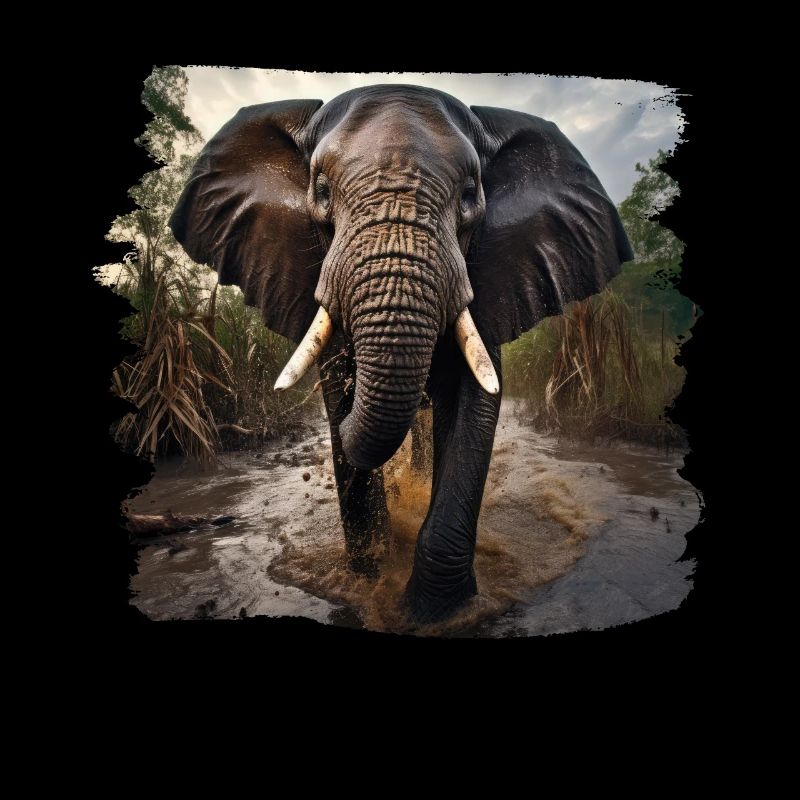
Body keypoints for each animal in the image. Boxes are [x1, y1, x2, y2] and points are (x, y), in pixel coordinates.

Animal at [169, 84, 633, 623]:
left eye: (471, 194)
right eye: (321, 191)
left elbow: (474, 403)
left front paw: (434, 610)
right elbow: (339, 395)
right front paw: (371, 579)